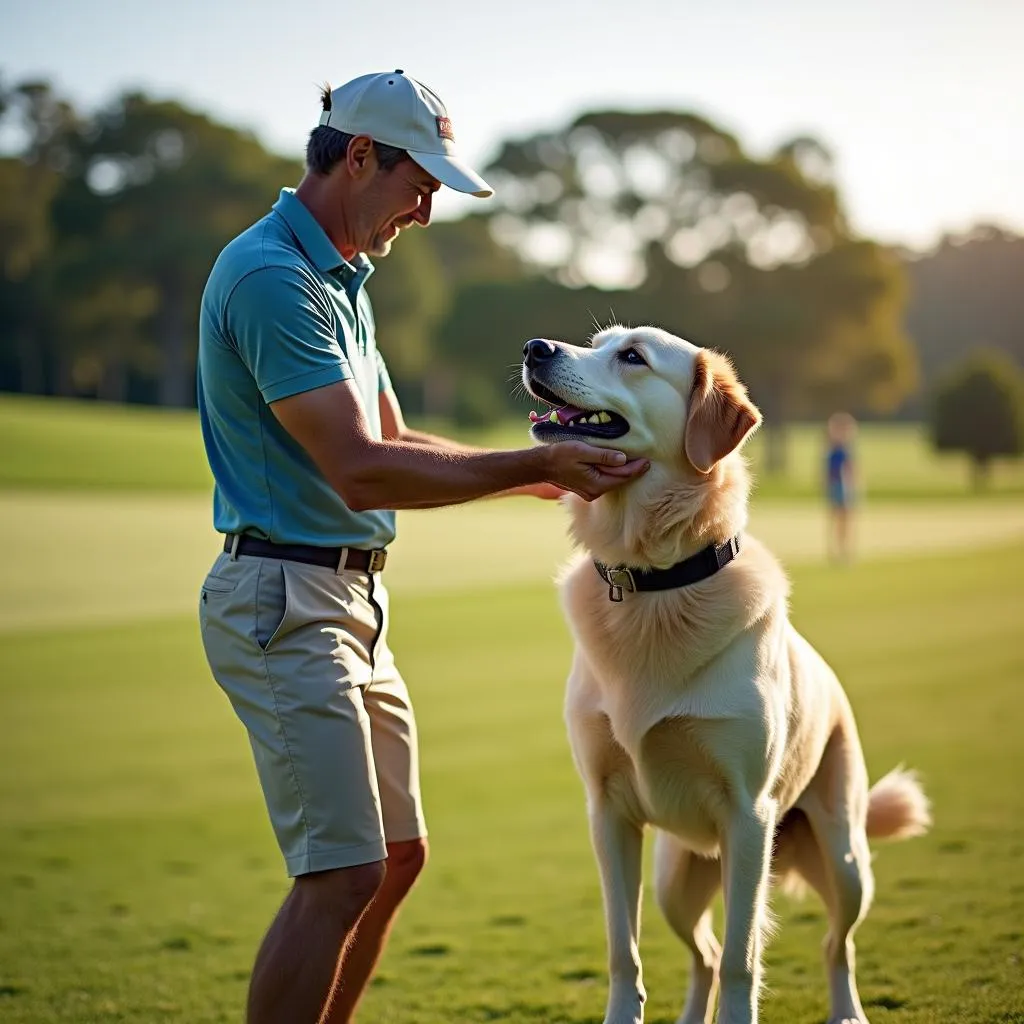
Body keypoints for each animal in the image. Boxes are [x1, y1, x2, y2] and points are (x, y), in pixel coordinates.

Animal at [524, 327, 933, 1024]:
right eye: (597, 342)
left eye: (632, 356)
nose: (535, 347)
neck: (654, 586)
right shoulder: (608, 813)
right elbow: (623, 950)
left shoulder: (747, 817)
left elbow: (746, 958)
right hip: (675, 879)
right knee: (704, 955)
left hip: (845, 860)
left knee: (834, 944)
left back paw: (848, 1010)